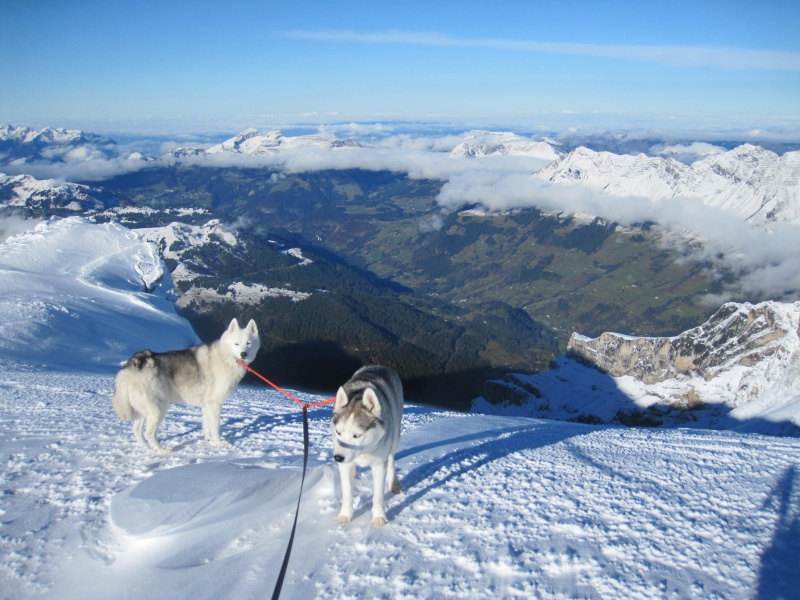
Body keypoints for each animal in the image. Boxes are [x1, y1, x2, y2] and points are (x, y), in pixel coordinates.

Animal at [111, 318, 260, 450]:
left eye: (248, 343)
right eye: (236, 344)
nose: (243, 354)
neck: (227, 357)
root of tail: (134, 365)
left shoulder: (207, 405)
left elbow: (207, 425)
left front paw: (209, 440)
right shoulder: (214, 404)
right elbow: (215, 426)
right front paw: (218, 443)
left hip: (144, 411)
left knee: (136, 430)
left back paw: (144, 446)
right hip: (158, 409)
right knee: (149, 433)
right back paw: (161, 450)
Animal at [332, 366, 404, 524]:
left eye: (357, 435)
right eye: (338, 432)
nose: (337, 458)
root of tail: (380, 366)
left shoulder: (379, 465)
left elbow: (378, 495)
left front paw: (378, 517)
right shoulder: (345, 464)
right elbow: (347, 492)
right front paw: (345, 515)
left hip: (395, 437)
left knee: (391, 459)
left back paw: (394, 484)